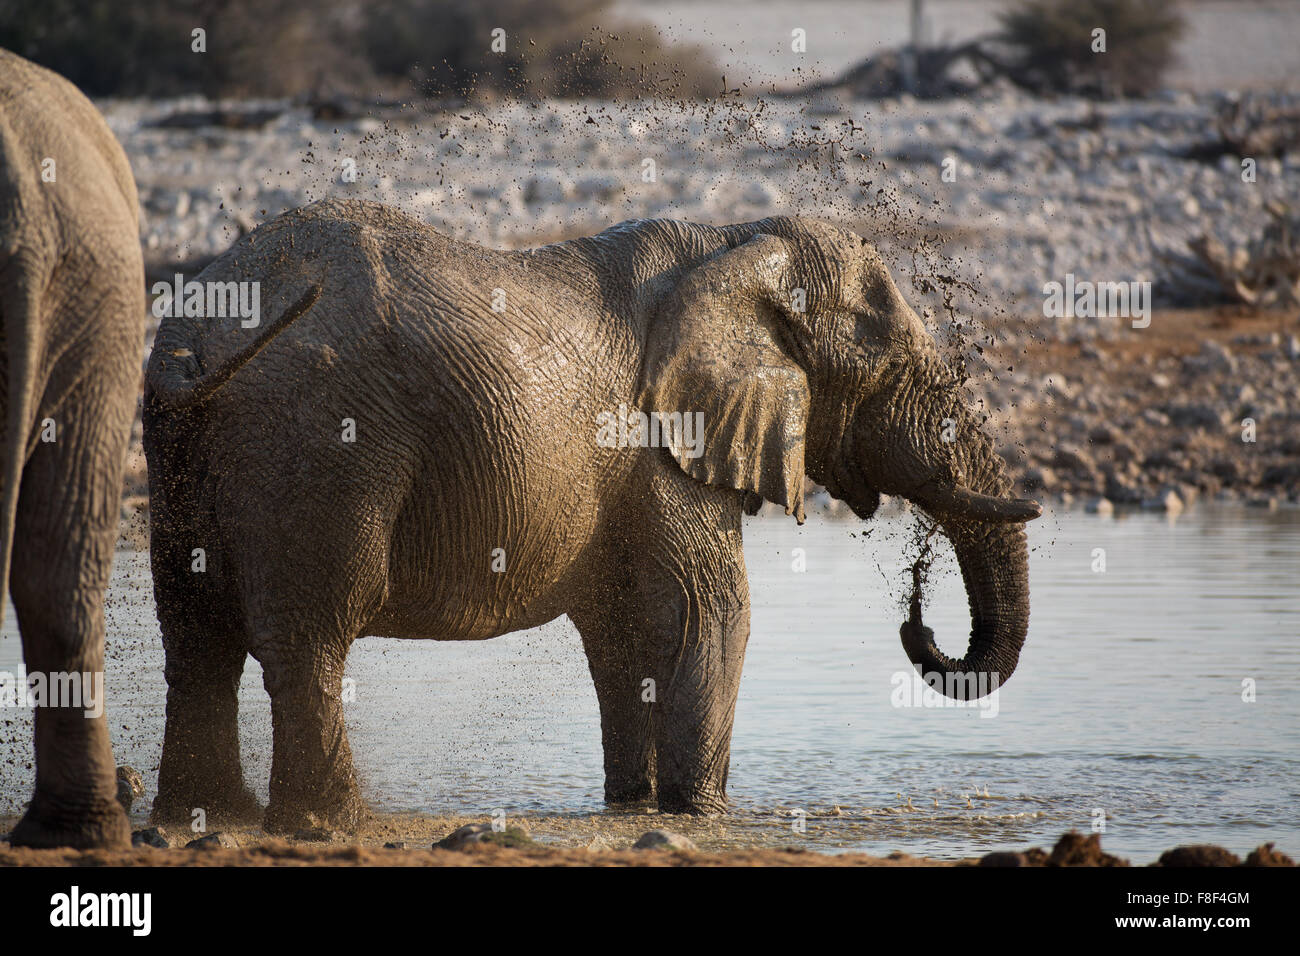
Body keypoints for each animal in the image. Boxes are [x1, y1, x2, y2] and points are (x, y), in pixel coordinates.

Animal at [139, 197, 1034, 832]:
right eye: (890, 369)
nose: (917, 617)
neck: (736, 240)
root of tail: (200, 336)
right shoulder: (663, 442)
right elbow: (711, 614)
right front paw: (705, 816)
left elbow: (627, 634)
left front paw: (633, 809)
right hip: (325, 439)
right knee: (310, 636)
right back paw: (332, 825)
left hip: (182, 447)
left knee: (196, 638)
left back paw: (207, 819)